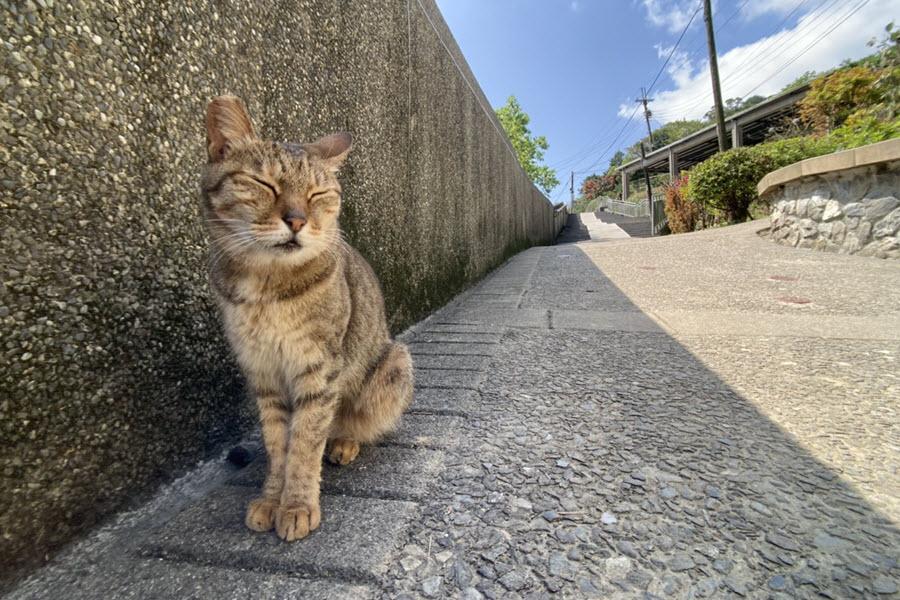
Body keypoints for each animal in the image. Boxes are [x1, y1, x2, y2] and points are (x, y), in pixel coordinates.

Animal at [202, 96, 414, 540]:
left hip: (394, 364)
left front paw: (297, 505)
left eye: (318, 194)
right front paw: (271, 499)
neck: (266, 287)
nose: (297, 220)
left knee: (348, 424)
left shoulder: (318, 371)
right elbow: (277, 443)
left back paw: (344, 442)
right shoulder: (263, 372)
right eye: (265, 185)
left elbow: (304, 444)